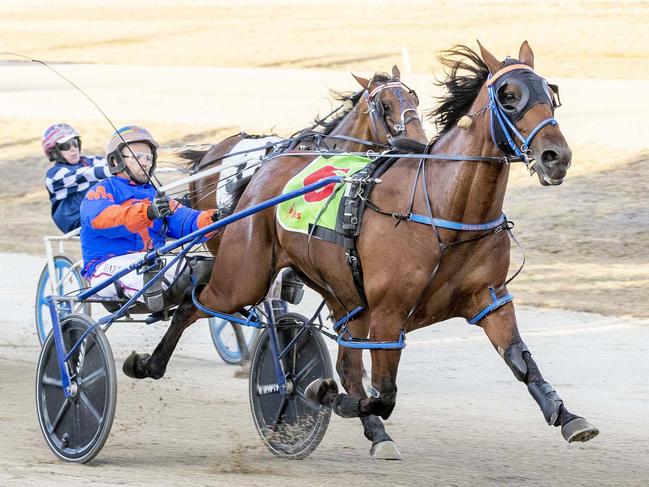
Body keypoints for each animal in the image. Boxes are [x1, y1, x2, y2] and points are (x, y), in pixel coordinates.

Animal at [125, 43, 596, 460]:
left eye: (550, 92)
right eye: (509, 97)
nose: (555, 156)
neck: (444, 208)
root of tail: (261, 170)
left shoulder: (489, 299)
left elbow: (521, 362)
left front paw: (568, 416)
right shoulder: (389, 311)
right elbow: (383, 393)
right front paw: (319, 390)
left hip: (343, 294)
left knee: (342, 360)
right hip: (246, 274)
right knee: (196, 302)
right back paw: (148, 363)